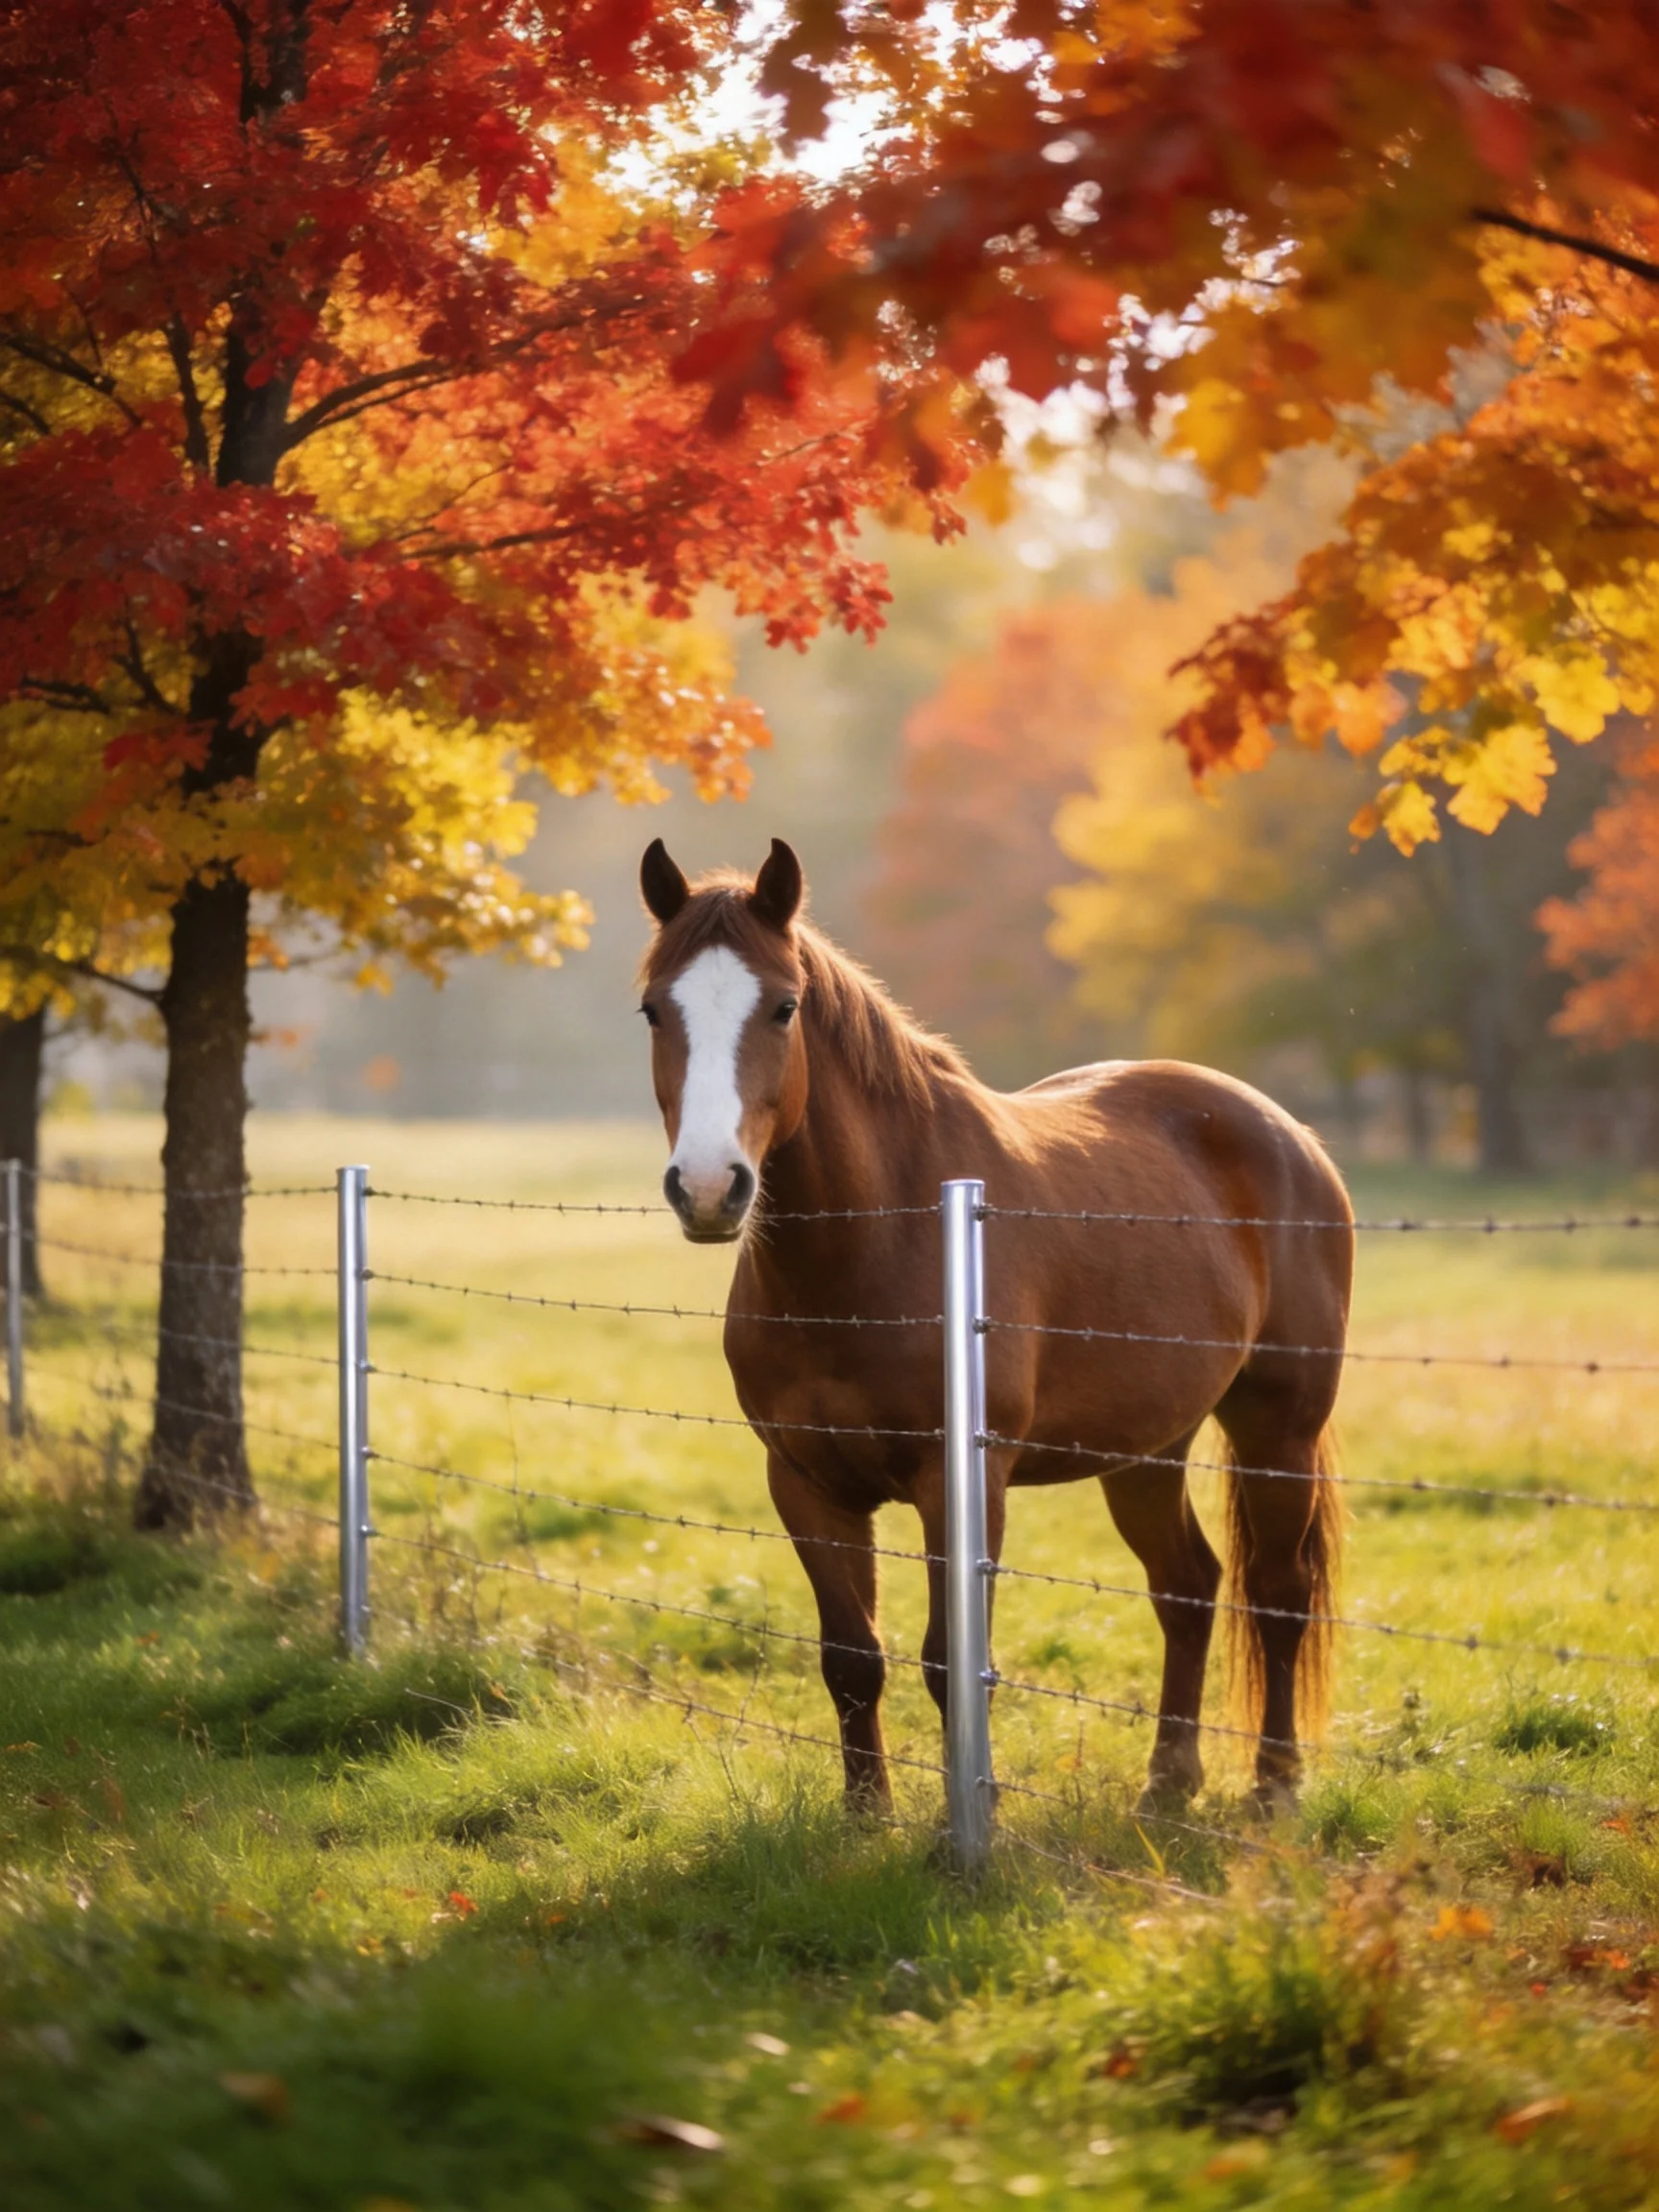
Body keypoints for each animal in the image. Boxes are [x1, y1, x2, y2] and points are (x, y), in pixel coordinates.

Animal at [638, 836, 1352, 1817]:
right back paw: (1167, 1782)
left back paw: (1275, 1786)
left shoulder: (962, 1483)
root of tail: (1290, 1133)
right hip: (1146, 1451)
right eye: (652, 1011)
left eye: (783, 1006)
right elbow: (851, 1658)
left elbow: (950, 1662)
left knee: (1278, 1594)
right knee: (1188, 1588)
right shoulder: (806, 1484)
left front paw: (962, 1821)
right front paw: (867, 1817)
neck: (875, 1248)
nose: (709, 1189)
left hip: (1277, 1427)